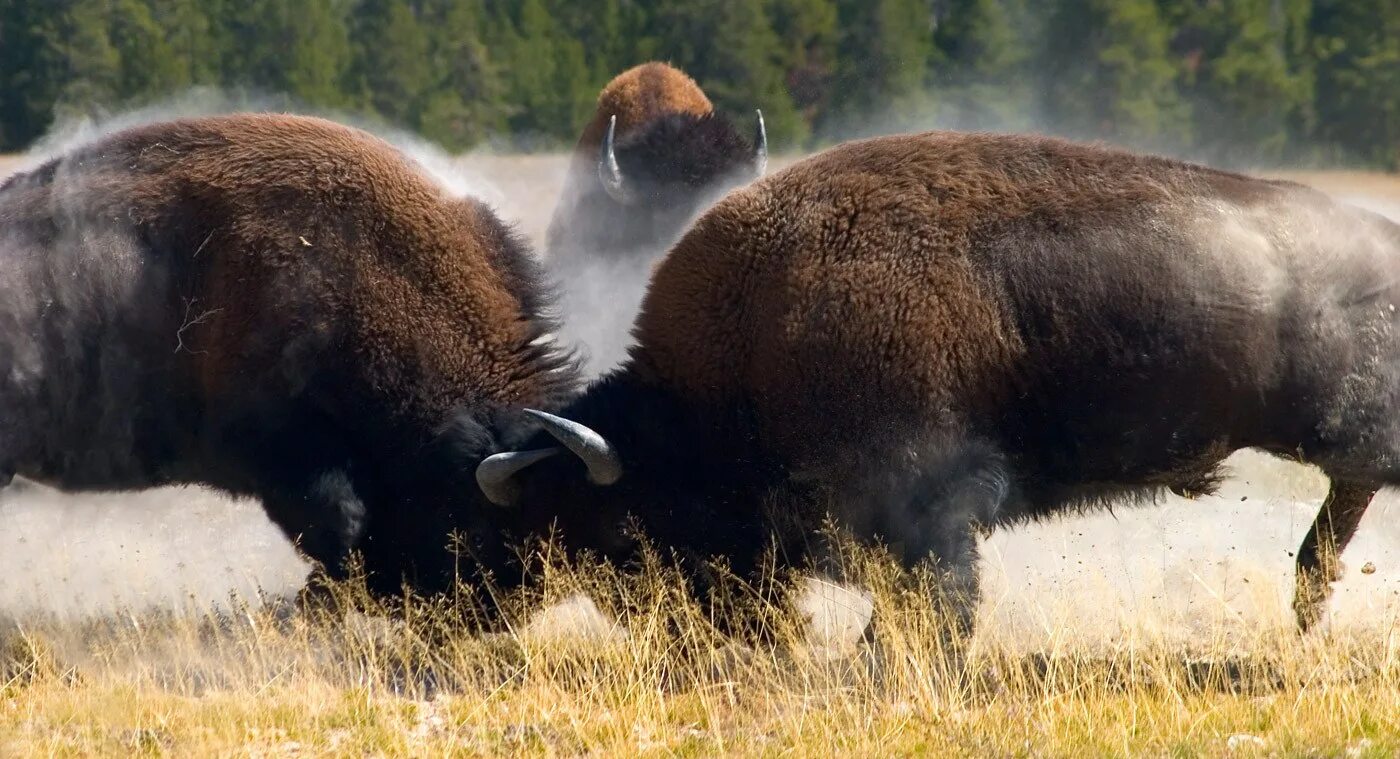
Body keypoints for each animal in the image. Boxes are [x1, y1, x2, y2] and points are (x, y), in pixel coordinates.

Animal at [476, 132, 1400, 635]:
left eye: (625, 528)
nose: (673, 628)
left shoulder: (932, 506)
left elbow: (935, 602)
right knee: (1339, 506)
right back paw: (1308, 599)